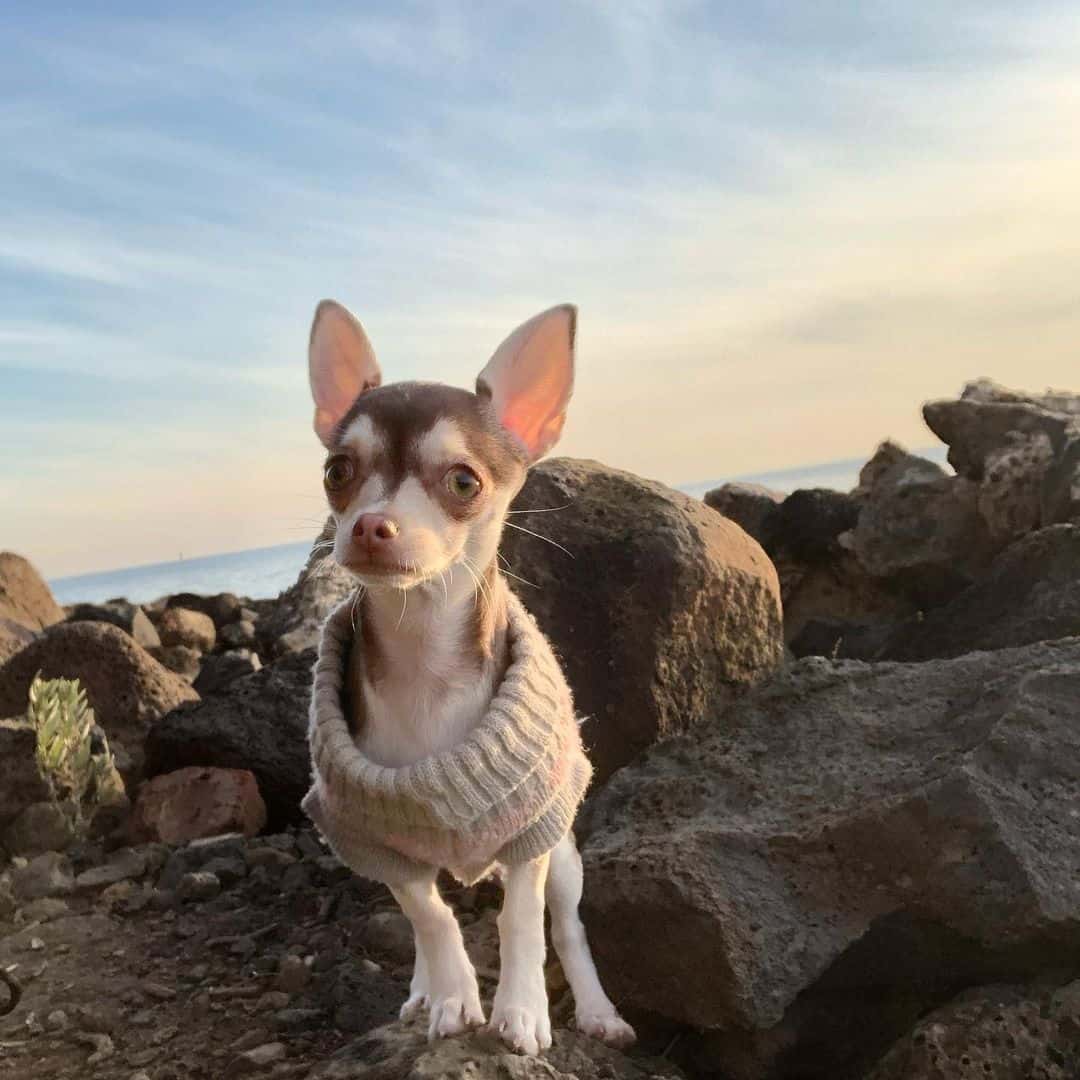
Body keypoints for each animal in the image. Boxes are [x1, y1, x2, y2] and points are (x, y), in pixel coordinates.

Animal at [300, 298, 630, 1054]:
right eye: (337, 471)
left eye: (463, 482)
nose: (370, 525)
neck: (423, 656)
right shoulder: (371, 839)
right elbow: (428, 915)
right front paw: (452, 997)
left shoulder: (535, 836)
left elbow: (520, 920)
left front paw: (523, 1010)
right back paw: (426, 990)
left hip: (567, 854)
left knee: (567, 926)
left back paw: (598, 1012)